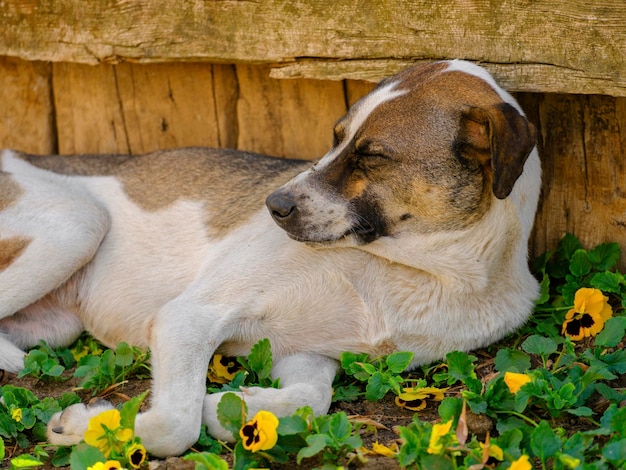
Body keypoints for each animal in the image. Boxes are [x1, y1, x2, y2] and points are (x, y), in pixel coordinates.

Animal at [0, 60, 536, 458]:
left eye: (372, 156)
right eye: (336, 137)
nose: (273, 205)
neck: (418, 271)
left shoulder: (309, 354)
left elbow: (311, 400)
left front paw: (231, 406)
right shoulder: (189, 316)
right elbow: (175, 425)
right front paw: (90, 427)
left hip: (56, 323)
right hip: (78, 223)